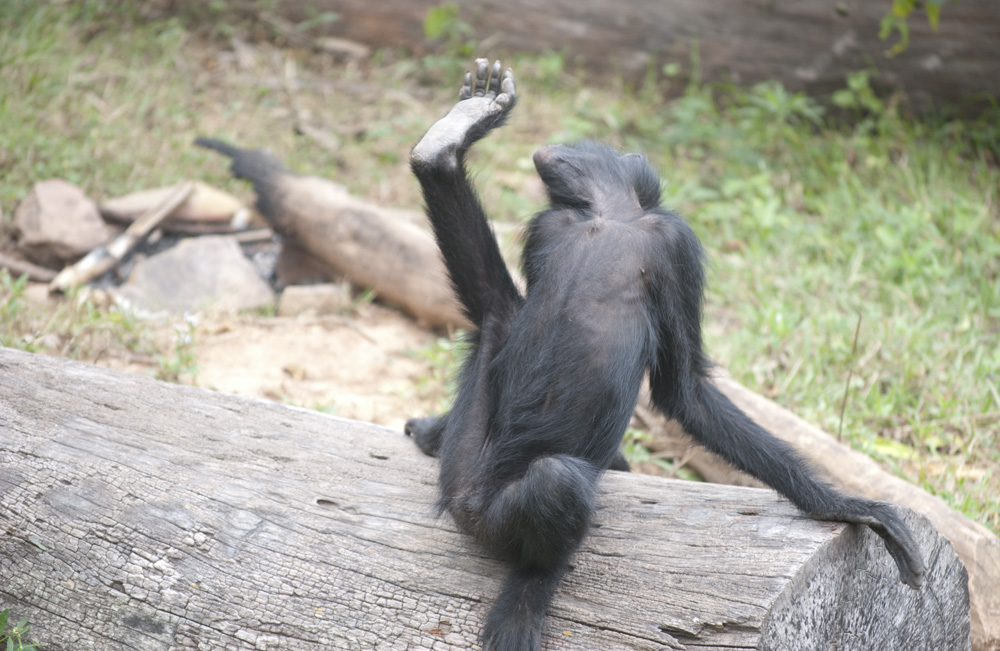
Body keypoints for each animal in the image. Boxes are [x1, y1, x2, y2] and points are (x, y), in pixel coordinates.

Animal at [406, 59, 925, 651]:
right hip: (474, 479)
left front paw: (843, 506)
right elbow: (679, 385)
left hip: (475, 482)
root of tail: (469, 505)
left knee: (514, 365)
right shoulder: (608, 234)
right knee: (529, 402)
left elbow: (683, 388)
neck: (606, 217)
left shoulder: (655, 243)